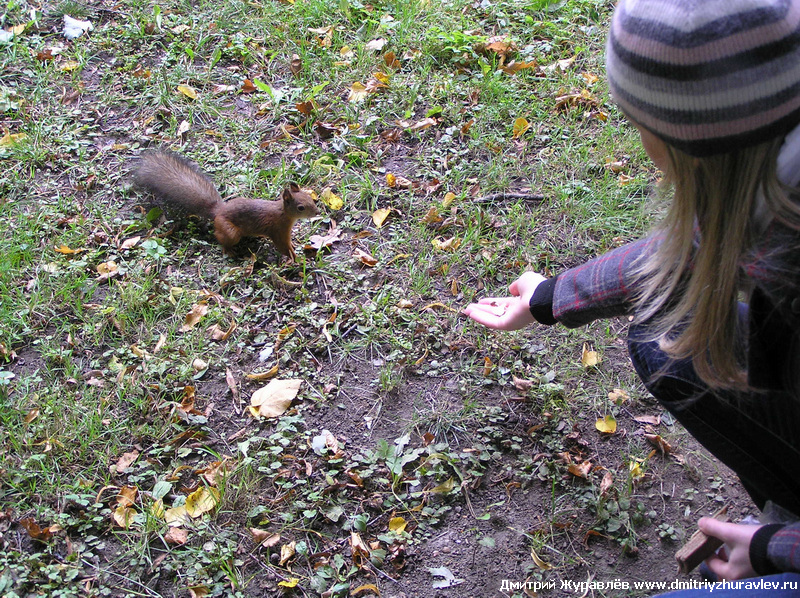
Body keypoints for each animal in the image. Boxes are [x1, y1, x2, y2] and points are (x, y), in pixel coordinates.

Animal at [133, 149, 318, 262]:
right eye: (301, 207)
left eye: (310, 197)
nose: (316, 212)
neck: (283, 214)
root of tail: (219, 211)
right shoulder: (277, 230)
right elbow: (282, 246)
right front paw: (293, 257)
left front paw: (294, 248)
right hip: (230, 231)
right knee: (220, 238)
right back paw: (229, 250)